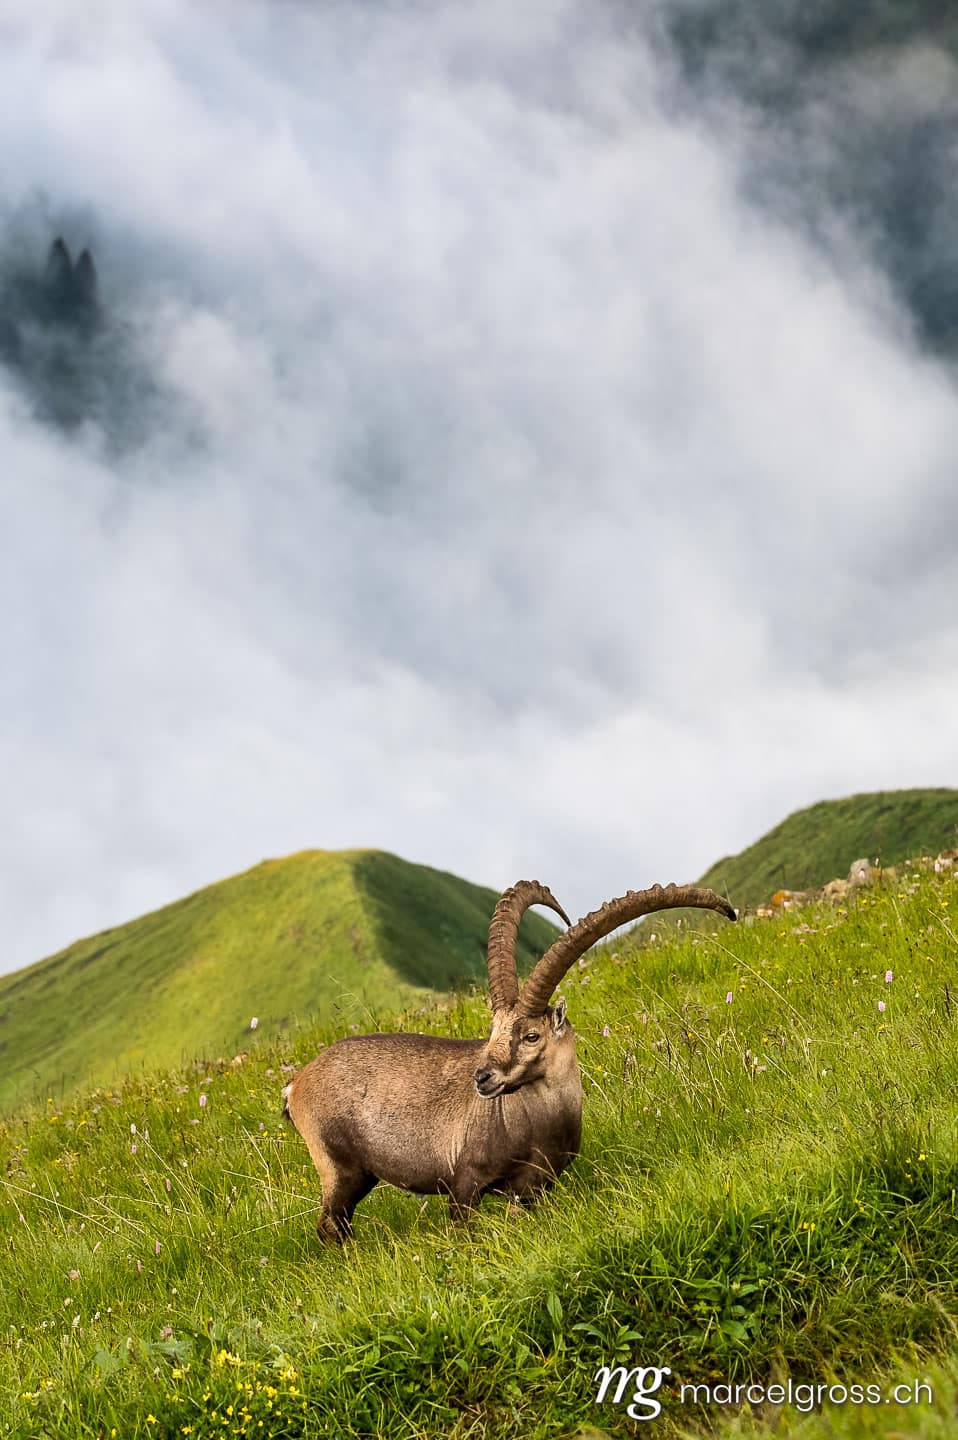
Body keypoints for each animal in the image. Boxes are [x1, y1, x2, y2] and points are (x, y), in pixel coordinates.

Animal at [283, 880, 735, 1242]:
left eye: (531, 1035)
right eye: (492, 1031)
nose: (482, 1078)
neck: (538, 1124)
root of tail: (296, 1084)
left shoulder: (535, 1189)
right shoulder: (464, 1184)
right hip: (340, 1169)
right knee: (330, 1225)